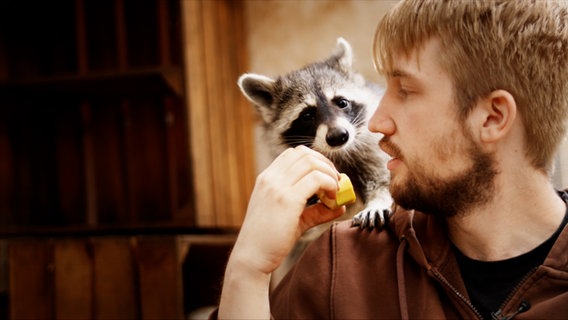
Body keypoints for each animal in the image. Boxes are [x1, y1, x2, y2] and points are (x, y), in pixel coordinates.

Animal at [237, 38, 392, 286]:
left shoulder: (374, 149)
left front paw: (379, 199)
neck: (338, 153)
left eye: (342, 102)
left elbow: (383, 178)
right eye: (307, 115)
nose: (338, 136)